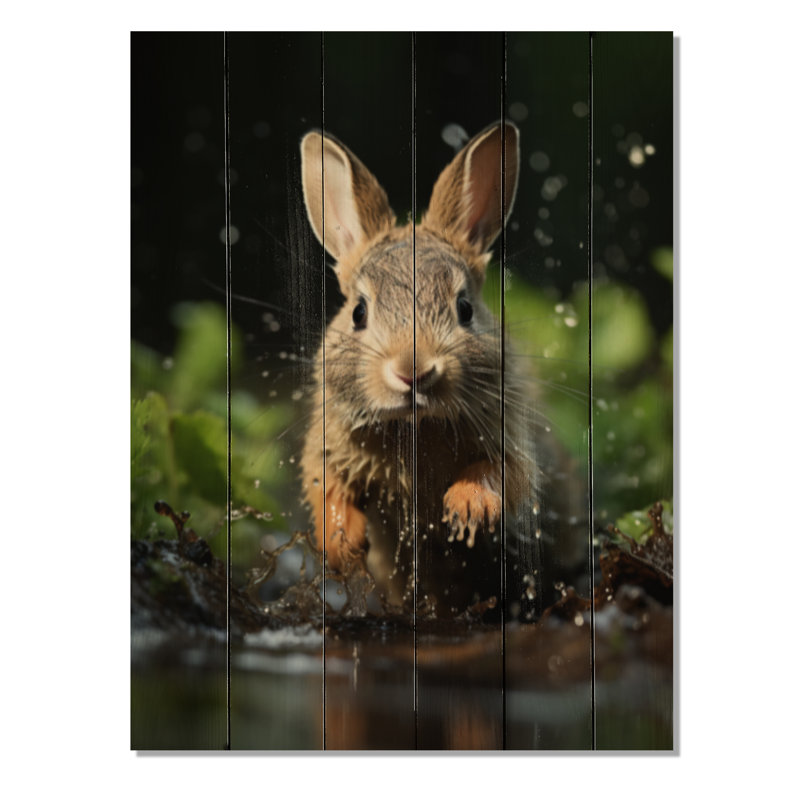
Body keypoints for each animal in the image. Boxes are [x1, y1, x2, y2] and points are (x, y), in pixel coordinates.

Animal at [297, 121, 583, 617]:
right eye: (358, 313)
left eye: (464, 309)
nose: (413, 371)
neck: (416, 426)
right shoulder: (328, 443)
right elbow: (326, 488)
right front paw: (342, 544)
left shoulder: (511, 437)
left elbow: (506, 476)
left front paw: (465, 508)